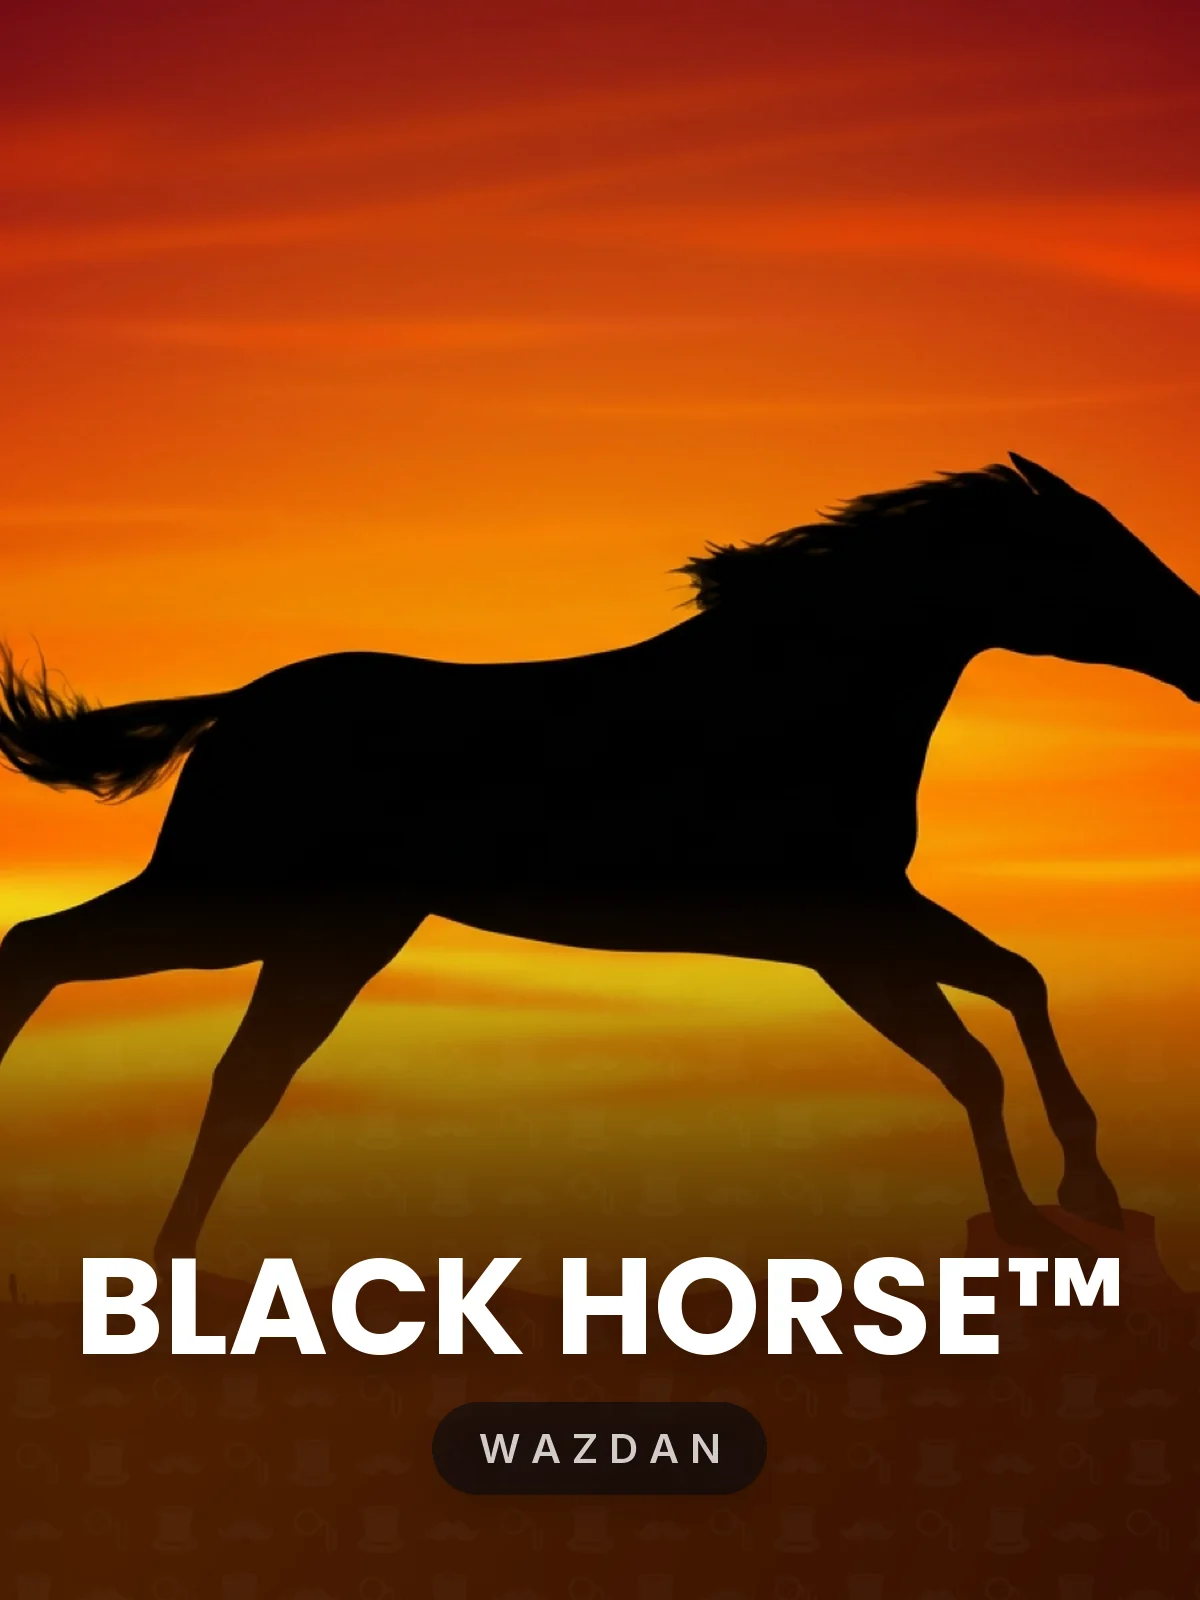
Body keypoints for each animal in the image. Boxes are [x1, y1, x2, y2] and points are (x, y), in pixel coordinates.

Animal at [0, 451, 1194, 1267]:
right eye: (1101, 551)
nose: (1197, 638)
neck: (809, 693)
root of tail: (239, 703)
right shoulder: (845, 934)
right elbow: (974, 1054)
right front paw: (1037, 1218)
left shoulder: (874, 914)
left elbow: (1014, 988)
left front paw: (1082, 1193)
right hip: (233, 904)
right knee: (49, 949)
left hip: (331, 933)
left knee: (229, 1070)